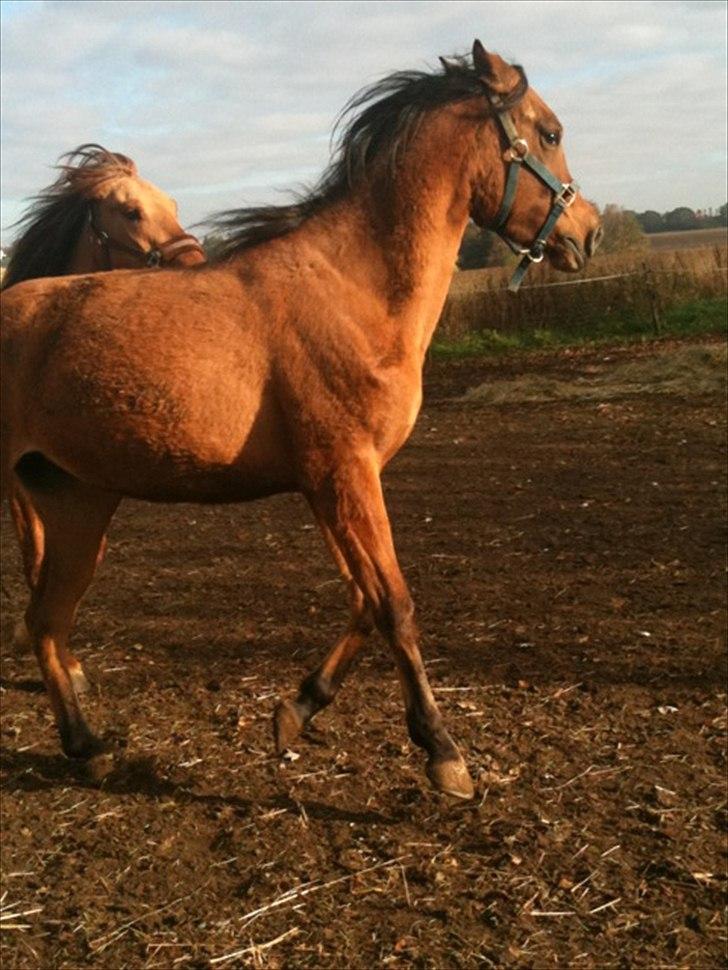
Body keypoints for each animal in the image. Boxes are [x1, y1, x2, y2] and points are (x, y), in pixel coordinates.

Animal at [0, 43, 600, 796]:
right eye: (549, 131)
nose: (589, 232)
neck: (355, 291)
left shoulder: (326, 484)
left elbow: (363, 600)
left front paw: (297, 709)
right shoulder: (346, 474)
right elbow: (394, 604)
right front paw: (443, 753)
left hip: (79, 507)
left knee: (47, 619)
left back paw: (88, 746)